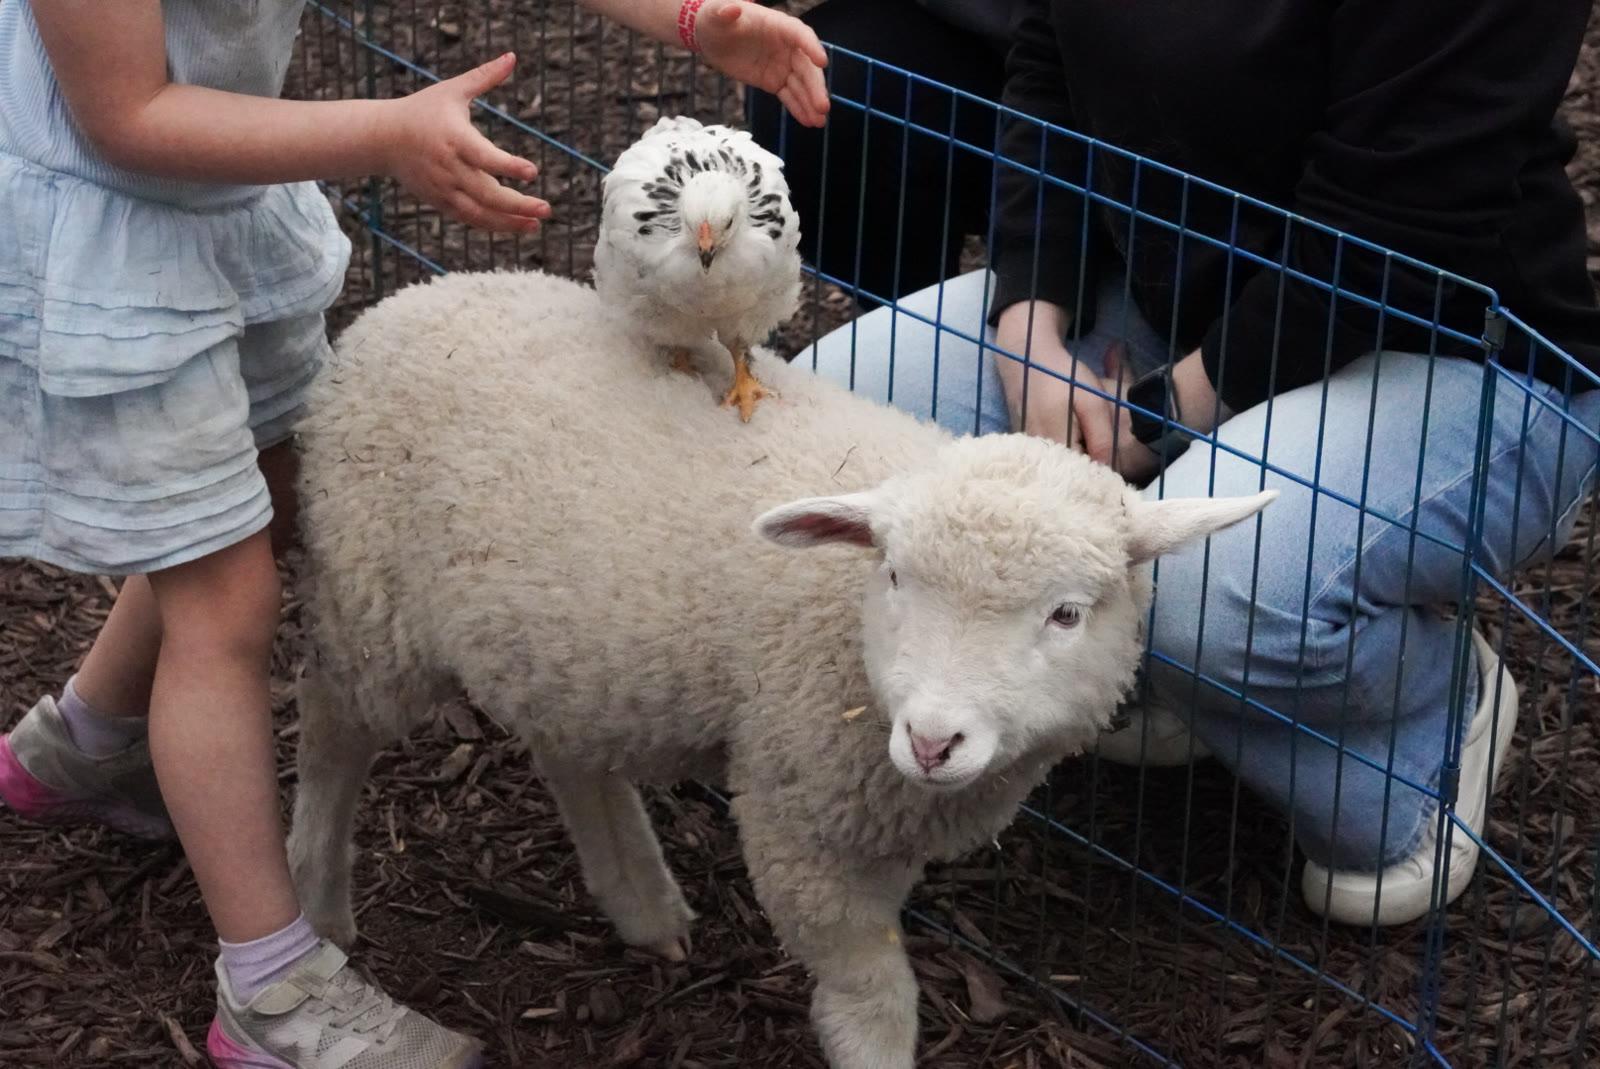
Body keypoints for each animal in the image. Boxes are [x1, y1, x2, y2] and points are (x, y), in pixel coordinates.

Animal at [285, 268, 1274, 1069]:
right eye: (894, 576)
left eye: (1066, 613)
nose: (932, 740)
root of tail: (412, 300)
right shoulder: (799, 816)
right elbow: (874, 998)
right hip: (374, 603)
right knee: (329, 724)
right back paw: (317, 901)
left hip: (560, 641)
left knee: (570, 753)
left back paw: (642, 902)